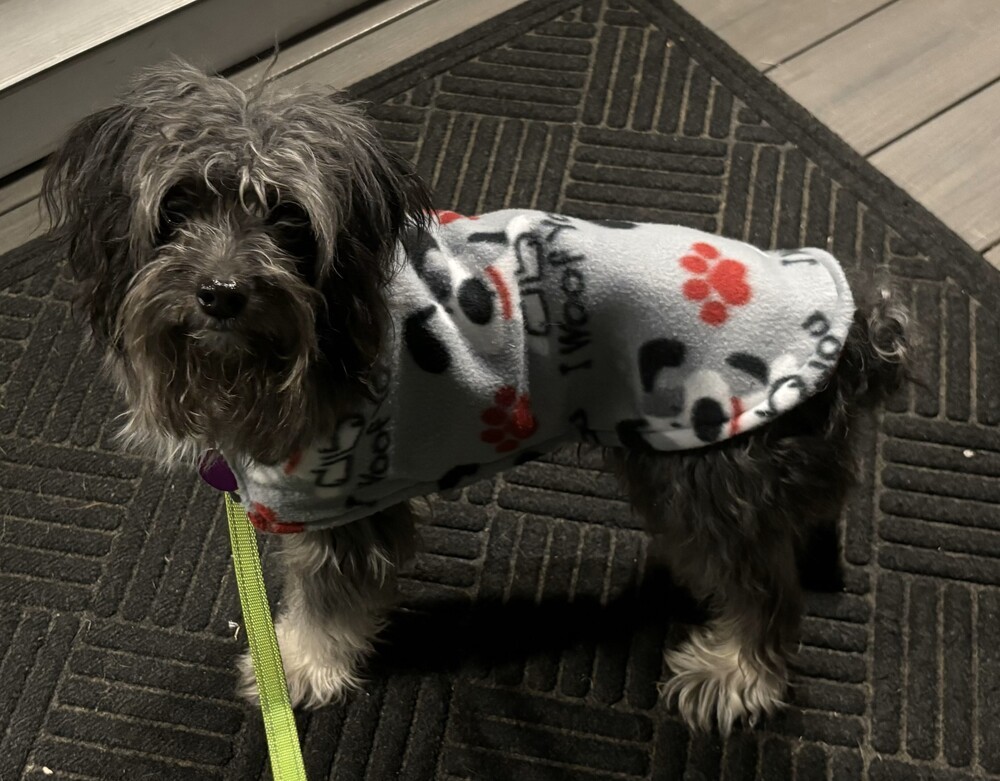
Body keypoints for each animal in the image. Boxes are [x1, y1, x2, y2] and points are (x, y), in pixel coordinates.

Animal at [43, 62, 912, 736]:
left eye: (287, 218)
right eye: (177, 207)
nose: (221, 292)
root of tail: (847, 318)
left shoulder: (338, 507)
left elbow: (326, 605)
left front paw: (296, 667)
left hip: (707, 468)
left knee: (765, 593)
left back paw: (735, 672)